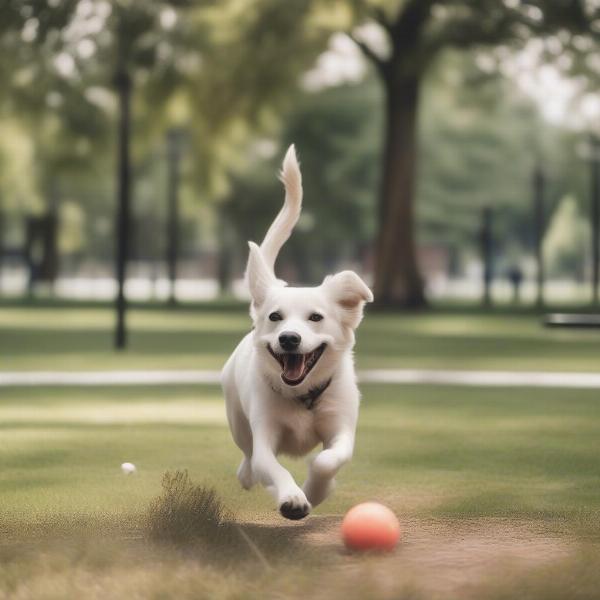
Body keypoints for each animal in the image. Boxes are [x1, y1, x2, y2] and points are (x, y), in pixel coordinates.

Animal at [221, 145, 370, 520]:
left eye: (316, 317)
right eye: (275, 317)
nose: (289, 338)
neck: (302, 397)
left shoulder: (341, 427)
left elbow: (328, 459)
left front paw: (317, 489)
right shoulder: (264, 433)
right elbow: (271, 465)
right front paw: (292, 497)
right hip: (237, 418)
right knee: (247, 456)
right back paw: (247, 475)